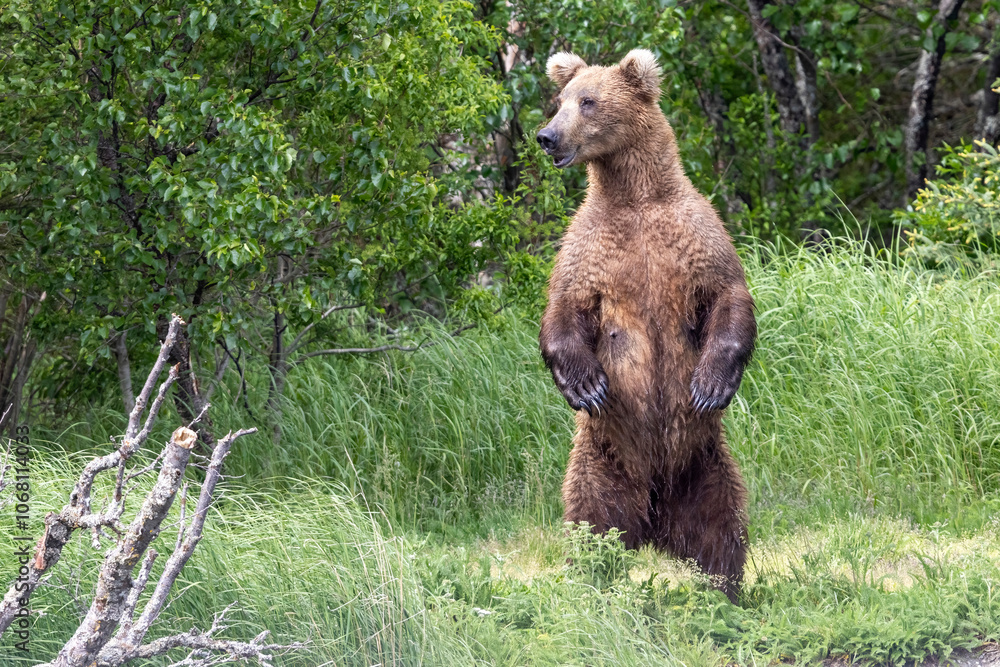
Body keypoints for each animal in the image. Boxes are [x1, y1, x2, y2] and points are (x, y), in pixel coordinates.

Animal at [535, 48, 757, 601]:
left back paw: (725, 593)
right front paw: (586, 384)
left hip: (706, 464)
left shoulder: (693, 235)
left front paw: (711, 385)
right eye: (560, 99)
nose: (546, 136)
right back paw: (589, 586)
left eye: (588, 101)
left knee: (721, 529)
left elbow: (728, 296)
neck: (633, 196)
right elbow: (562, 311)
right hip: (600, 461)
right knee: (590, 524)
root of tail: (656, 520)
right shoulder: (588, 250)